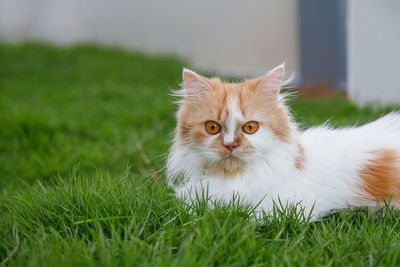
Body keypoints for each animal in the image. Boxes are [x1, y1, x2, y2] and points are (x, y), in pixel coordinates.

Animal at [166, 63, 400, 221]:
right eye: (212, 127)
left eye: (250, 127)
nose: (230, 145)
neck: (234, 178)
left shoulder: (288, 208)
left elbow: (245, 219)